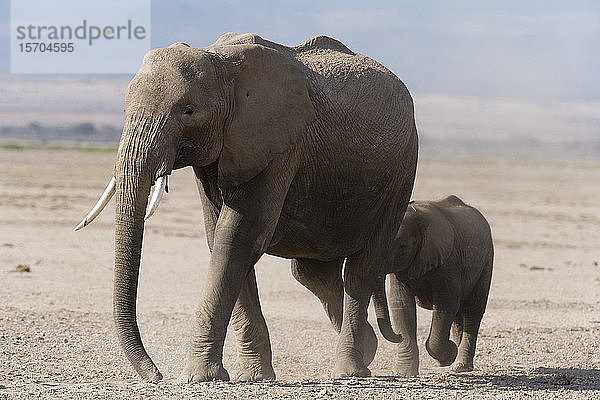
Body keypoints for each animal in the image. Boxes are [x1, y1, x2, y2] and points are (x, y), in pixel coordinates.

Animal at [75, 32, 420, 382]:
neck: (221, 59)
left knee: (363, 267)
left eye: (189, 111)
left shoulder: (278, 142)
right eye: (124, 107)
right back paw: (369, 346)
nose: (156, 375)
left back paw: (351, 370)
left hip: (403, 168)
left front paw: (202, 377)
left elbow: (238, 236)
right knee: (312, 272)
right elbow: (220, 237)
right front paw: (252, 376)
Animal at [376, 195, 492, 376]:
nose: (397, 336)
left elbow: (446, 304)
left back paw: (460, 366)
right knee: (458, 316)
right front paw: (404, 374)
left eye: (402, 247)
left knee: (472, 312)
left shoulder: (449, 261)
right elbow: (402, 305)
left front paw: (449, 353)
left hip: (486, 262)